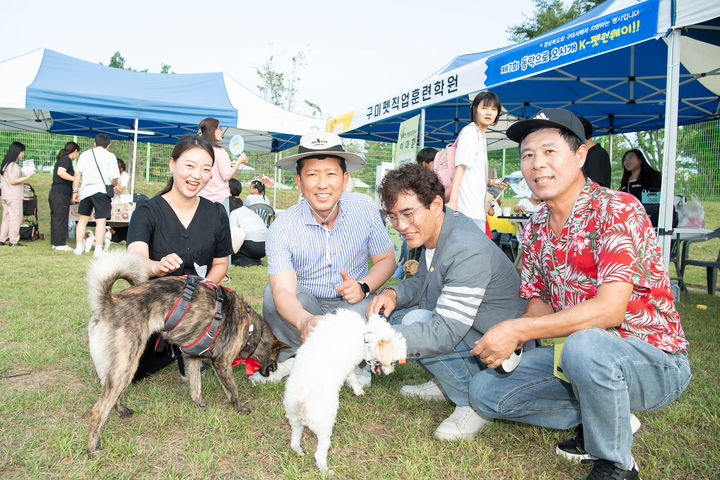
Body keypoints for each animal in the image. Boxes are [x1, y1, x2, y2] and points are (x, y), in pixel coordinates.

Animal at [86, 253, 284, 456]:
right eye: (275, 357)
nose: (275, 367)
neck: (251, 327)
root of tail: (109, 302)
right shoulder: (222, 362)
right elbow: (232, 391)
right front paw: (239, 408)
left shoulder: (192, 358)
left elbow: (195, 388)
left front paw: (199, 405)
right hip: (127, 365)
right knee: (98, 410)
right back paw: (93, 449)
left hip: (112, 368)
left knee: (110, 397)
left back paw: (121, 411)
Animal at [282, 310, 404, 474]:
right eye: (392, 362)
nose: (390, 372)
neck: (364, 333)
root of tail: (301, 400)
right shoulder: (350, 364)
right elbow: (353, 378)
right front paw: (358, 390)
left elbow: (351, 377)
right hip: (324, 426)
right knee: (319, 454)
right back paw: (326, 471)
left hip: (295, 422)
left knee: (294, 442)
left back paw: (300, 452)